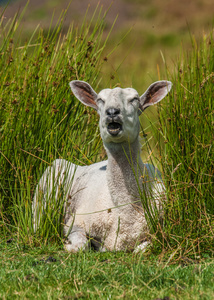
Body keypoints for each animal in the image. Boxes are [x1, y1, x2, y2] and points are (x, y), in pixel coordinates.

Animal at [32, 78, 172, 252]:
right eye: (100, 100)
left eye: (134, 99)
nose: (112, 112)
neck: (126, 211)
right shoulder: (75, 223)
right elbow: (81, 245)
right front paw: (69, 246)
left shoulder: (159, 229)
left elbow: (143, 249)